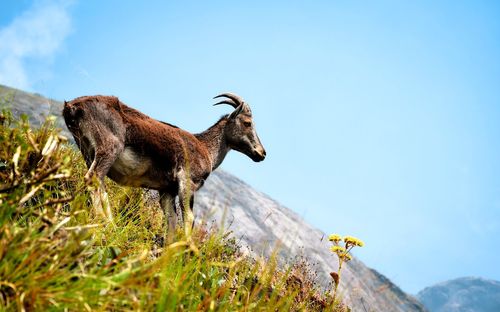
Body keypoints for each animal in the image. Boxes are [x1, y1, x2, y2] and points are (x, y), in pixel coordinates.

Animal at [63, 94, 266, 235]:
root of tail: (73, 107)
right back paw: (106, 222)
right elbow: (189, 217)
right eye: (247, 123)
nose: (261, 153)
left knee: (99, 183)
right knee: (93, 178)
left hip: (88, 151)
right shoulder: (187, 181)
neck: (206, 148)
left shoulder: (166, 191)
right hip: (109, 148)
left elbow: (171, 220)